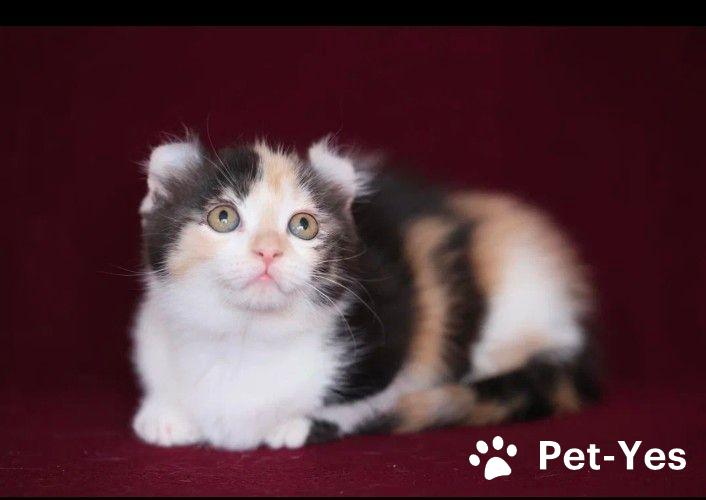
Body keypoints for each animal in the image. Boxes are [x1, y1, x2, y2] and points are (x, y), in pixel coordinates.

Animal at [132, 134, 600, 450]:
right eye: (224, 217)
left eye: (303, 225)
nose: (268, 251)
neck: (247, 337)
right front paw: (163, 416)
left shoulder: (394, 332)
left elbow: (374, 393)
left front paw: (298, 424)